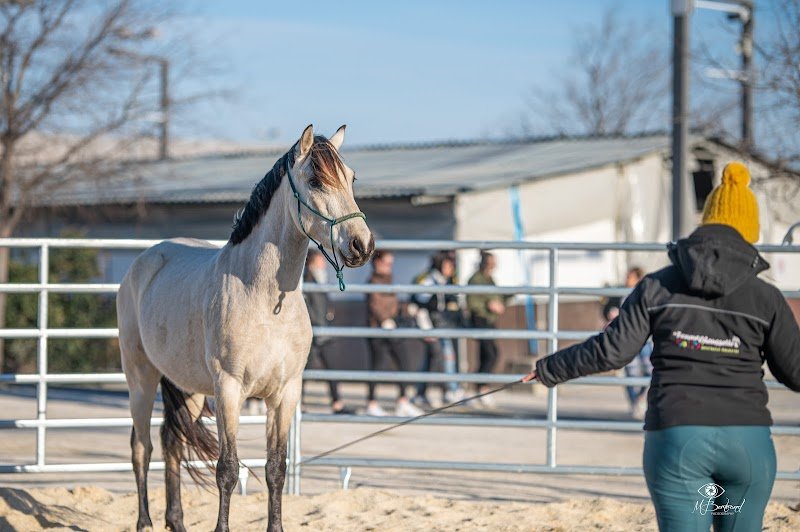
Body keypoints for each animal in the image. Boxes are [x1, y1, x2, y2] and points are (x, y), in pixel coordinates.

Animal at [117, 124, 374, 532]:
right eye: (315, 180)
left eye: (351, 178)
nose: (362, 245)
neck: (264, 300)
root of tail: (144, 261)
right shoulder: (229, 389)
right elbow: (227, 469)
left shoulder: (285, 393)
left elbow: (276, 469)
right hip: (140, 377)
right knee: (142, 447)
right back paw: (145, 523)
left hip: (187, 387)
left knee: (171, 442)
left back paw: (177, 522)